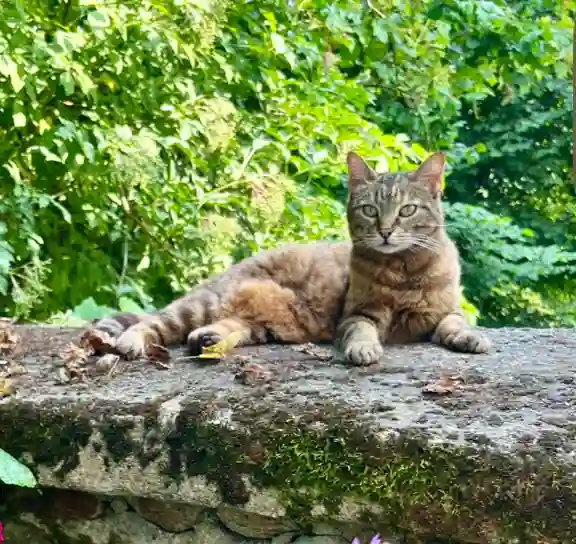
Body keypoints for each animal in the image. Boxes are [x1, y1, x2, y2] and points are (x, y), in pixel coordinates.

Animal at [90, 150, 490, 366]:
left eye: (407, 210)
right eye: (370, 210)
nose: (387, 231)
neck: (404, 271)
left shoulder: (445, 310)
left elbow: (454, 324)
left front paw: (470, 338)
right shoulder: (358, 314)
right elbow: (360, 331)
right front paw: (363, 348)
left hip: (262, 324)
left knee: (223, 327)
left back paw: (207, 338)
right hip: (201, 305)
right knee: (153, 322)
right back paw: (132, 341)